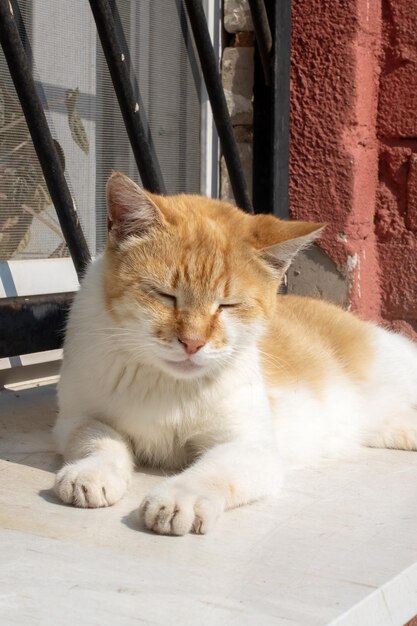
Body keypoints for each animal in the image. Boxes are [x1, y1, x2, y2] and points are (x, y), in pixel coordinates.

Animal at [53, 173, 416, 532]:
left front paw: (180, 497)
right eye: (165, 296)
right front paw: (93, 472)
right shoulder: (74, 418)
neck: (168, 384)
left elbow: (211, 471)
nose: (192, 342)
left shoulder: (252, 447)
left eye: (227, 306)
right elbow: (101, 437)